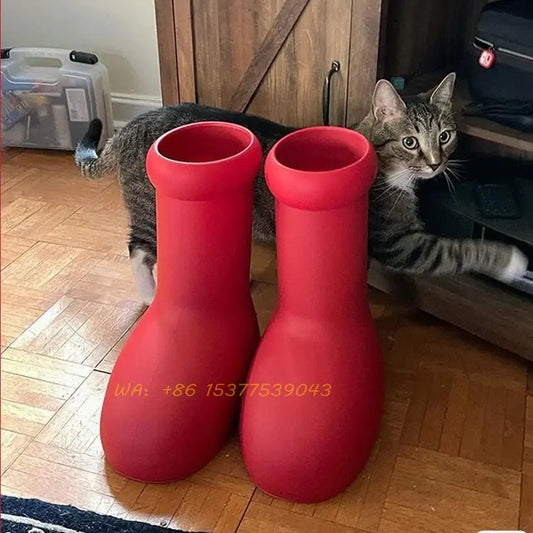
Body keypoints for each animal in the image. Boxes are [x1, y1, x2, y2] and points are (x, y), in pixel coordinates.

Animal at [76, 72, 528, 304]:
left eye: (446, 136)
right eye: (410, 142)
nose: (436, 164)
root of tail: (130, 127)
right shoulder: (397, 242)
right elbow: (457, 250)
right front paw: (510, 261)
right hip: (152, 209)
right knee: (137, 249)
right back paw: (151, 295)